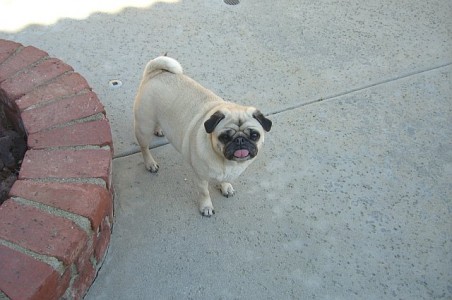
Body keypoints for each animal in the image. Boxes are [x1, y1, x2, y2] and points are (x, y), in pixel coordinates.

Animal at [132, 56, 270, 216]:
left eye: (254, 135)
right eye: (225, 137)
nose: (240, 140)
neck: (227, 163)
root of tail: (156, 73)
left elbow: (225, 180)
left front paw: (225, 186)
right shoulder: (201, 177)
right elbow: (204, 193)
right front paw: (206, 207)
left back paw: (160, 130)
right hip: (144, 126)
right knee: (144, 147)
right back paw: (150, 163)